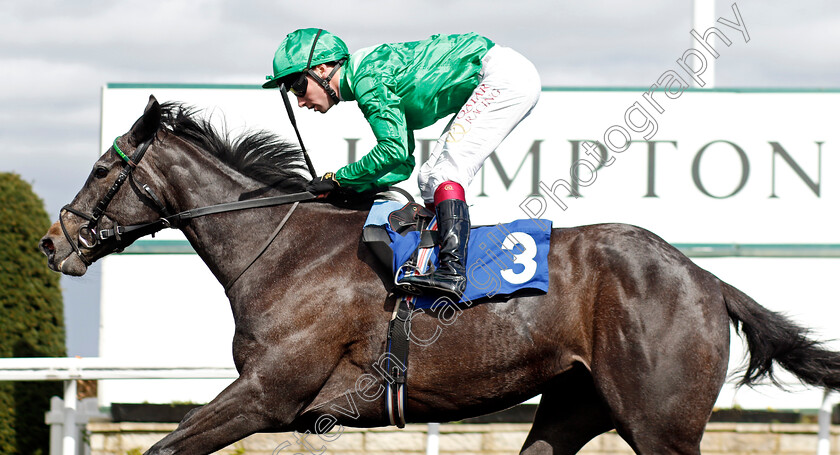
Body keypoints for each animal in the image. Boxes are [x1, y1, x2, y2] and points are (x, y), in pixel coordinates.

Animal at [41, 95, 840, 452]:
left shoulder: (269, 394)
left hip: (659, 421)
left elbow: (163, 445)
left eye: (105, 168)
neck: (286, 250)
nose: (53, 242)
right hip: (575, 402)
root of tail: (706, 279)